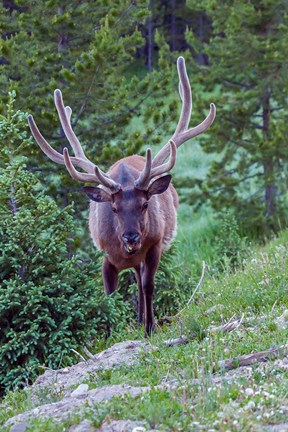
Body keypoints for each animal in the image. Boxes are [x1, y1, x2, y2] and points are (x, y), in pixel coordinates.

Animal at [27, 55, 216, 336]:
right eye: (114, 209)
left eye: (145, 204)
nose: (131, 236)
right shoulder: (105, 257)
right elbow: (109, 296)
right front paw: (109, 333)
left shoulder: (155, 246)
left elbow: (148, 286)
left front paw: (149, 327)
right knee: (134, 278)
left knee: (139, 281)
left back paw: (142, 319)